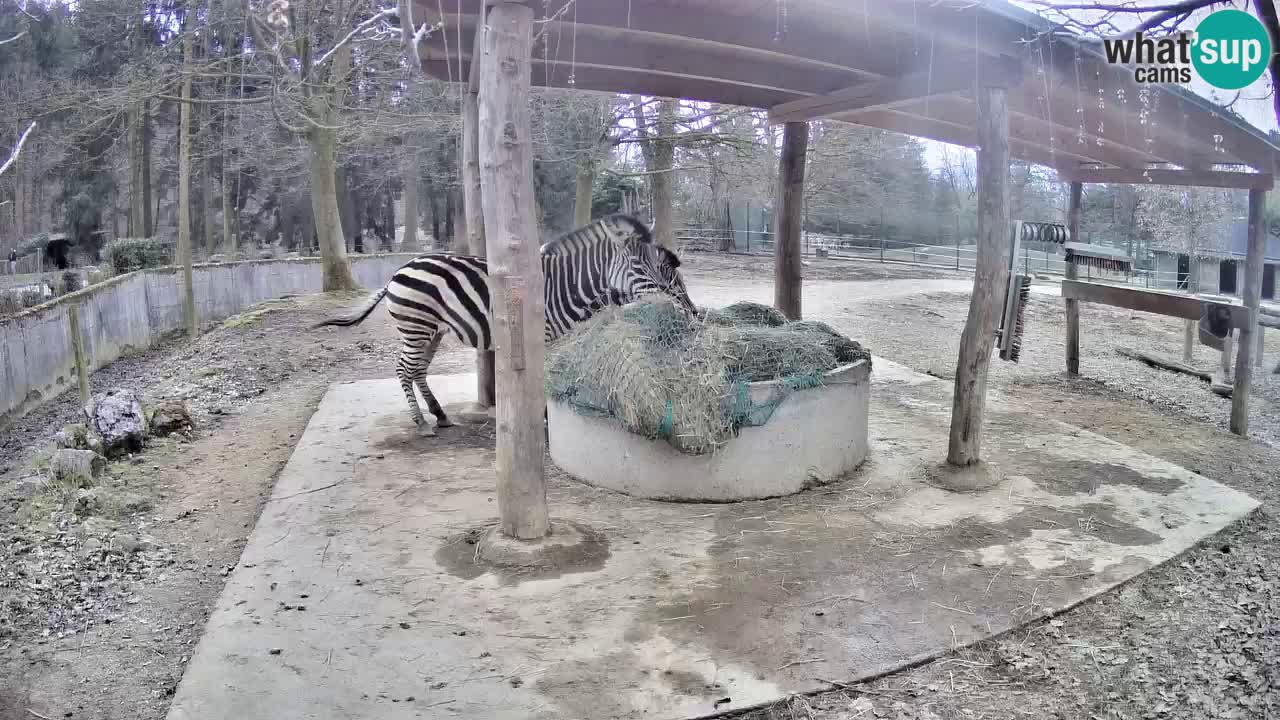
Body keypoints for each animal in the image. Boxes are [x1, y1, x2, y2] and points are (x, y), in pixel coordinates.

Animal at [313, 212, 696, 435]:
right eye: (642, 267)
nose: (691, 313)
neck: (568, 285)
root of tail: (399, 269)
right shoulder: (543, 335)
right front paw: (542, 421)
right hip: (416, 327)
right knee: (404, 369)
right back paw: (421, 423)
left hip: (432, 331)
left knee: (418, 370)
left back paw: (439, 415)